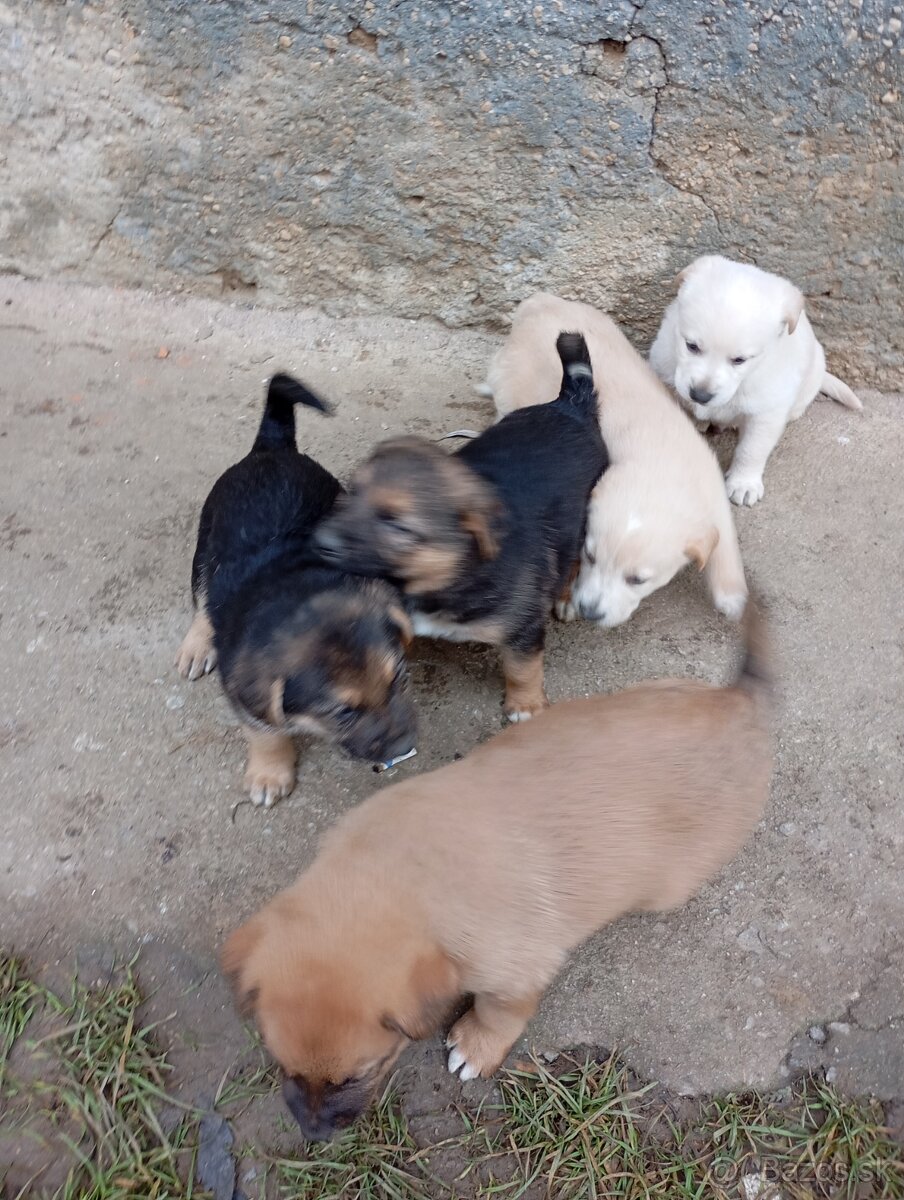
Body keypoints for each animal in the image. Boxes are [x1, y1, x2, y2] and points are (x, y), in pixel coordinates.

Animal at [175, 374, 416, 807]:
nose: (406, 744)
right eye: (343, 714)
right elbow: (266, 731)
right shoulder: (246, 696)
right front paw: (270, 773)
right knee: (203, 601)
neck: (295, 592)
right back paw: (197, 646)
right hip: (206, 545)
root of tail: (272, 447)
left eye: (400, 679)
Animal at [222, 599, 772, 1139]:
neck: (389, 879)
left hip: (672, 881)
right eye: (282, 1064)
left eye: (360, 1075)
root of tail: (737, 703)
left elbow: (499, 1011)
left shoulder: (516, 970)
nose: (313, 1135)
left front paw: (476, 1046)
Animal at [314, 333, 607, 720]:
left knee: (573, 560)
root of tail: (568, 405)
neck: (445, 575)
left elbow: (522, 668)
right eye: (352, 492)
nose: (319, 541)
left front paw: (526, 705)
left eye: (398, 527)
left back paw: (564, 599)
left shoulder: (523, 626)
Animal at [481, 293, 747, 627]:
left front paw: (732, 598)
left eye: (637, 580)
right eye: (591, 557)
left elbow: (723, 541)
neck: (659, 463)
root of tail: (538, 303)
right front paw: (566, 601)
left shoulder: (710, 488)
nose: (591, 613)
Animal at [649, 255, 863, 507]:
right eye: (691, 346)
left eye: (739, 360)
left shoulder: (766, 414)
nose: (700, 396)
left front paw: (744, 483)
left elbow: (752, 450)